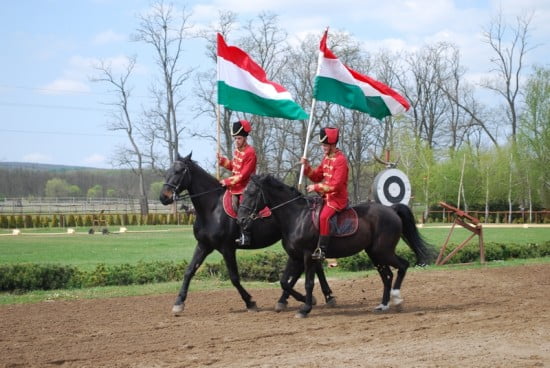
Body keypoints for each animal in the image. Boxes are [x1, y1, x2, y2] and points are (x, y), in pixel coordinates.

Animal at [157, 154, 334, 314]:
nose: (163, 197)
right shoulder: (203, 245)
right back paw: (319, 297)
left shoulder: (227, 248)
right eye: (167, 172)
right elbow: (189, 271)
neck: (212, 208)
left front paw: (250, 302)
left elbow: (234, 278)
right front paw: (179, 302)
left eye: (179, 171)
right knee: (314, 266)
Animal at [239, 174, 438, 318]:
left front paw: (306, 308)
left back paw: (396, 299)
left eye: (251, 194)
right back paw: (383, 305)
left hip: (383, 251)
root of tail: (391, 209)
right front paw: (304, 301)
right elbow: (284, 282)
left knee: (402, 266)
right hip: (374, 253)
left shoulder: (307, 256)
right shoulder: (294, 257)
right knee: (387, 275)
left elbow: (308, 283)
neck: (297, 216)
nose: (241, 219)